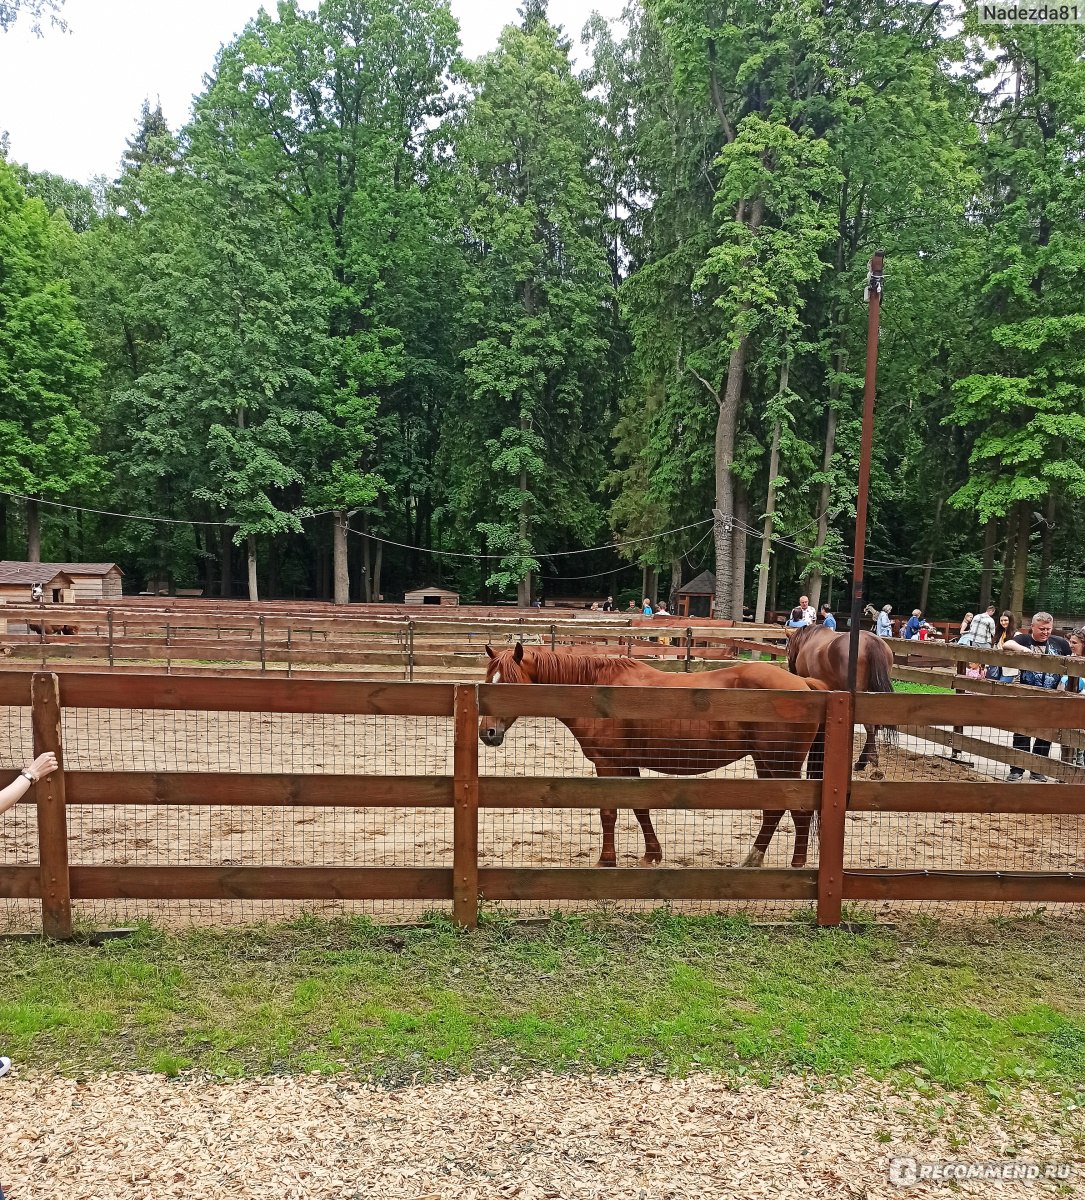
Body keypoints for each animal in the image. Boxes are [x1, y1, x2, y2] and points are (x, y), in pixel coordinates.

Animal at [480, 648, 830, 873]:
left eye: (508, 683)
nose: (488, 732)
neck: (598, 693)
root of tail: (804, 684)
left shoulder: (608, 764)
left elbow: (609, 813)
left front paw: (606, 860)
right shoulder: (627, 764)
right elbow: (640, 808)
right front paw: (652, 855)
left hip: (781, 764)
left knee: (796, 811)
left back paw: (794, 865)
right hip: (766, 763)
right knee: (775, 810)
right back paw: (755, 860)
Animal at [782, 624, 892, 782]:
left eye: (787, 650)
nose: (791, 670)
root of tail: (870, 640)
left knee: (870, 726)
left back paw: (871, 759)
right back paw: (861, 762)